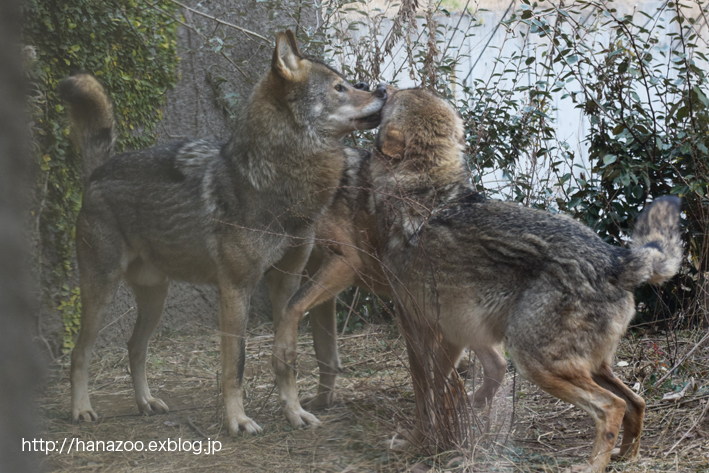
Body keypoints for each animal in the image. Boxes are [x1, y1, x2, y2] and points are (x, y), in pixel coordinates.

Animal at [60, 30, 388, 436]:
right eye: (340, 88)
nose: (383, 90)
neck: (280, 184)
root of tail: (98, 171)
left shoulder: (287, 283)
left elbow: (288, 359)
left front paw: (294, 412)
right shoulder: (235, 288)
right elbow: (236, 364)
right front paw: (238, 421)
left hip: (156, 298)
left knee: (135, 347)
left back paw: (146, 402)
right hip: (101, 293)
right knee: (80, 353)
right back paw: (82, 410)